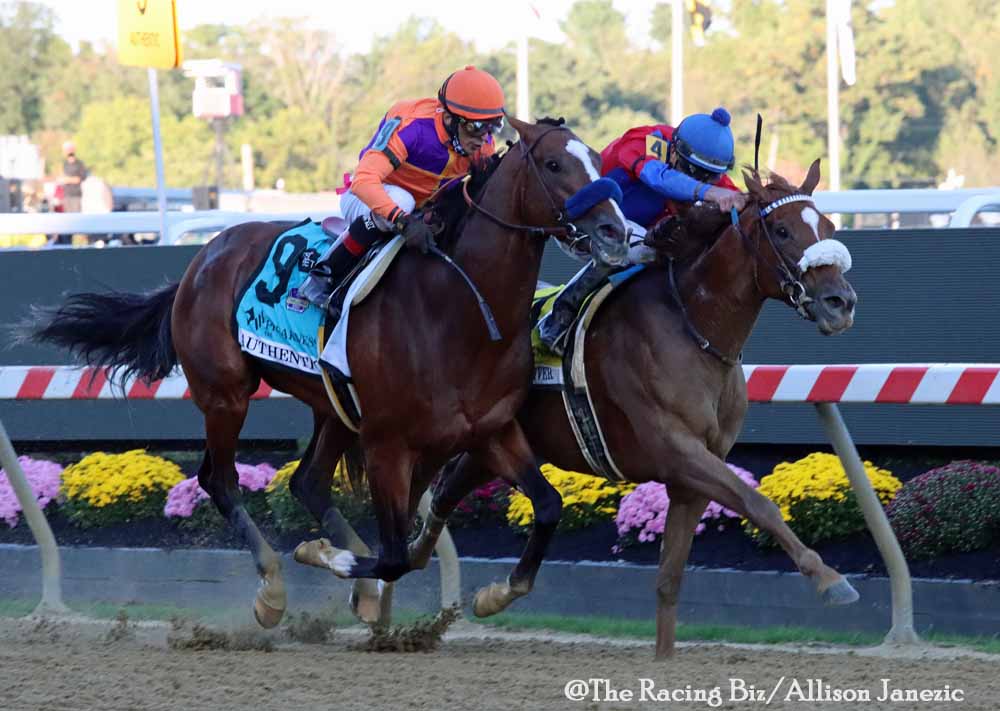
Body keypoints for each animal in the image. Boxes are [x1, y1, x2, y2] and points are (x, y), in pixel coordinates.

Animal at [29, 117, 624, 628]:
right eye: (553, 164)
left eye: (597, 158)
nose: (615, 229)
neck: (461, 308)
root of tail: (202, 259)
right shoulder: (388, 443)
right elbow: (393, 555)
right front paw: (326, 557)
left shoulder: (491, 429)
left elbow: (546, 506)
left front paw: (494, 594)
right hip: (226, 395)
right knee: (220, 480)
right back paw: (271, 589)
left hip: (332, 405)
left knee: (308, 482)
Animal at [406, 160, 860, 656]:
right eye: (781, 230)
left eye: (829, 226)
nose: (841, 303)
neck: (691, 325)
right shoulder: (676, 451)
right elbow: (759, 504)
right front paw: (831, 580)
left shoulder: (693, 473)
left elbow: (669, 579)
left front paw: (664, 660)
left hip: (499, 441)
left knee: (449, 488)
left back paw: (435, 569)